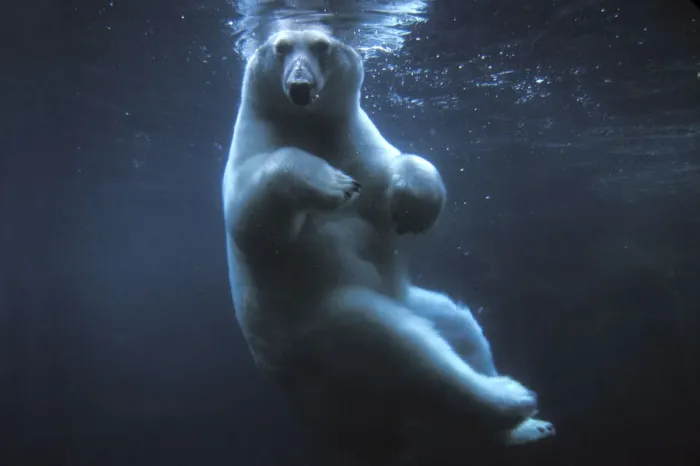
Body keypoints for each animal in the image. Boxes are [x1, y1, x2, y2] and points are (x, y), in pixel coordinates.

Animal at [222, 29, 555, 463]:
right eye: (280, 48)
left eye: (322, 46)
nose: (300, 87)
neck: (305, 124)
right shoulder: (251, 149)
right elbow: (254, 217)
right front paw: (332, 183)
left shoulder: (358, 145)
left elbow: (395, 171)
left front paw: (414, 208)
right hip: (326, 331)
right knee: (409, 352)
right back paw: (512, 398)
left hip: (404, 305)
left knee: (459, 325)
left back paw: (528, 425)